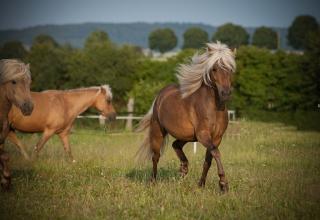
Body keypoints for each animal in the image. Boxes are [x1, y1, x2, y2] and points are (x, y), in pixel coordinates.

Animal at [0, 59, 33, 190]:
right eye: (14, 81)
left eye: (29, 82)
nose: (28, 107)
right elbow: (4, 156)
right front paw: (5, 179)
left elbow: (5, 156)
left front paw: (6, 180)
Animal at [136, 42, 236, 192]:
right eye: (214, 69)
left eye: (230, 69)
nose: (225, 93)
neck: (214, 107)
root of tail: (161, 95)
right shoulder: (203, 135)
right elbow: (216, 153)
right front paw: (223, 184)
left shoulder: (216, 138)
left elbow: (208, 160)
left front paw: (201, 184)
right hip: (158, 131)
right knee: (156, 156)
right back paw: (152, 181)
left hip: (187, 136)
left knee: (175, 145)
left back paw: (183, 168)